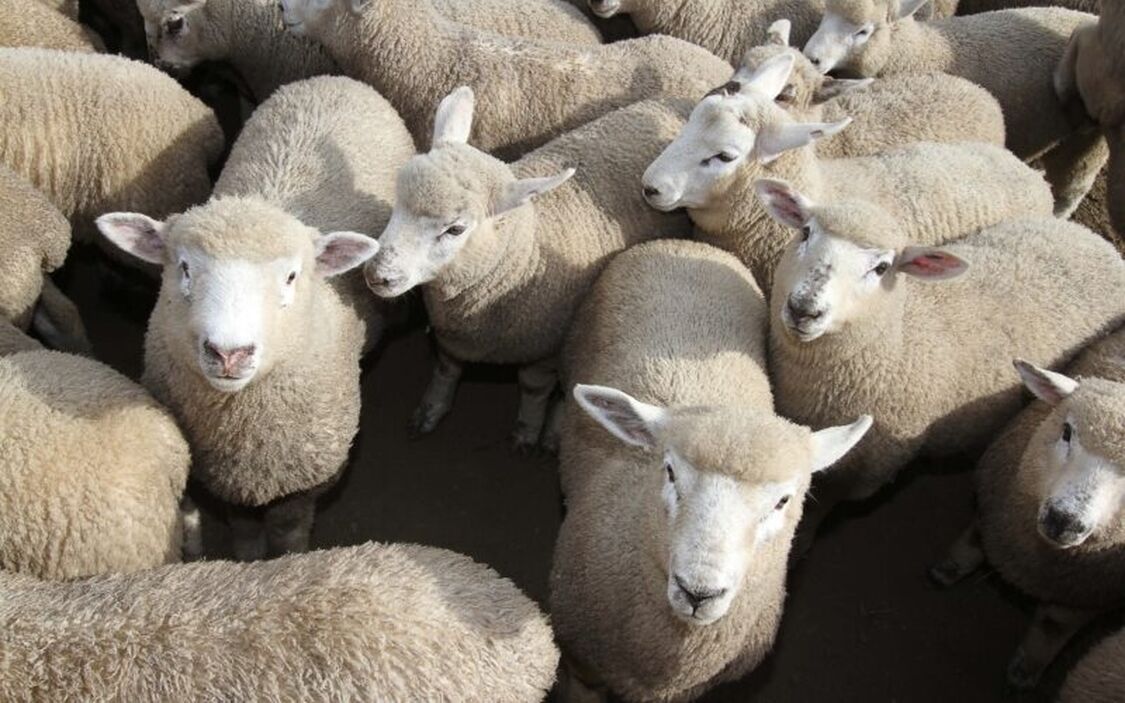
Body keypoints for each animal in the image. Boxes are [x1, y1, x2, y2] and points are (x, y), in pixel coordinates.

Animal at [97, 78, 407, 560]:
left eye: (292, 276)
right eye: (184, 268)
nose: (229, 353)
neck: (243, 433)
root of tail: (333, 79)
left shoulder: (304, 482)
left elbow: (288, 529)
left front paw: (285, 560)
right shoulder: (223, 479)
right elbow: (243, 527)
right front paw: (247, 558)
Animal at [364, 87, 690, 448]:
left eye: (455, 229)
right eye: (398, 196)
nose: (377, 274)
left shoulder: (543, 346)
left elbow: (533, 389)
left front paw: (527, 431)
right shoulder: (452, 336)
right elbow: (447, 370)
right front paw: (431, 409)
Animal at [757, 179, 1125, 550]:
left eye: (882, 268)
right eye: (805, 232)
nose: (804, 308)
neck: (896, 345)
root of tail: (1094, 240)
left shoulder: (865, 472)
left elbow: (819, 509)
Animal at [802, 0, 1104, 217]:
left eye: (862, 31)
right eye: (826, 13)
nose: (811, 57)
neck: (924, 51)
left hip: (1087, 142)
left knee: (1070, 191)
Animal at [929, 328, 1125, 689]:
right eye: (1066, 431)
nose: (1064, 520)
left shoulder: (1087, 594)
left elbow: (1051, 628)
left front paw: (1024, 672)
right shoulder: (993, 511)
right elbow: (972, 541)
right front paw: (946, 570)